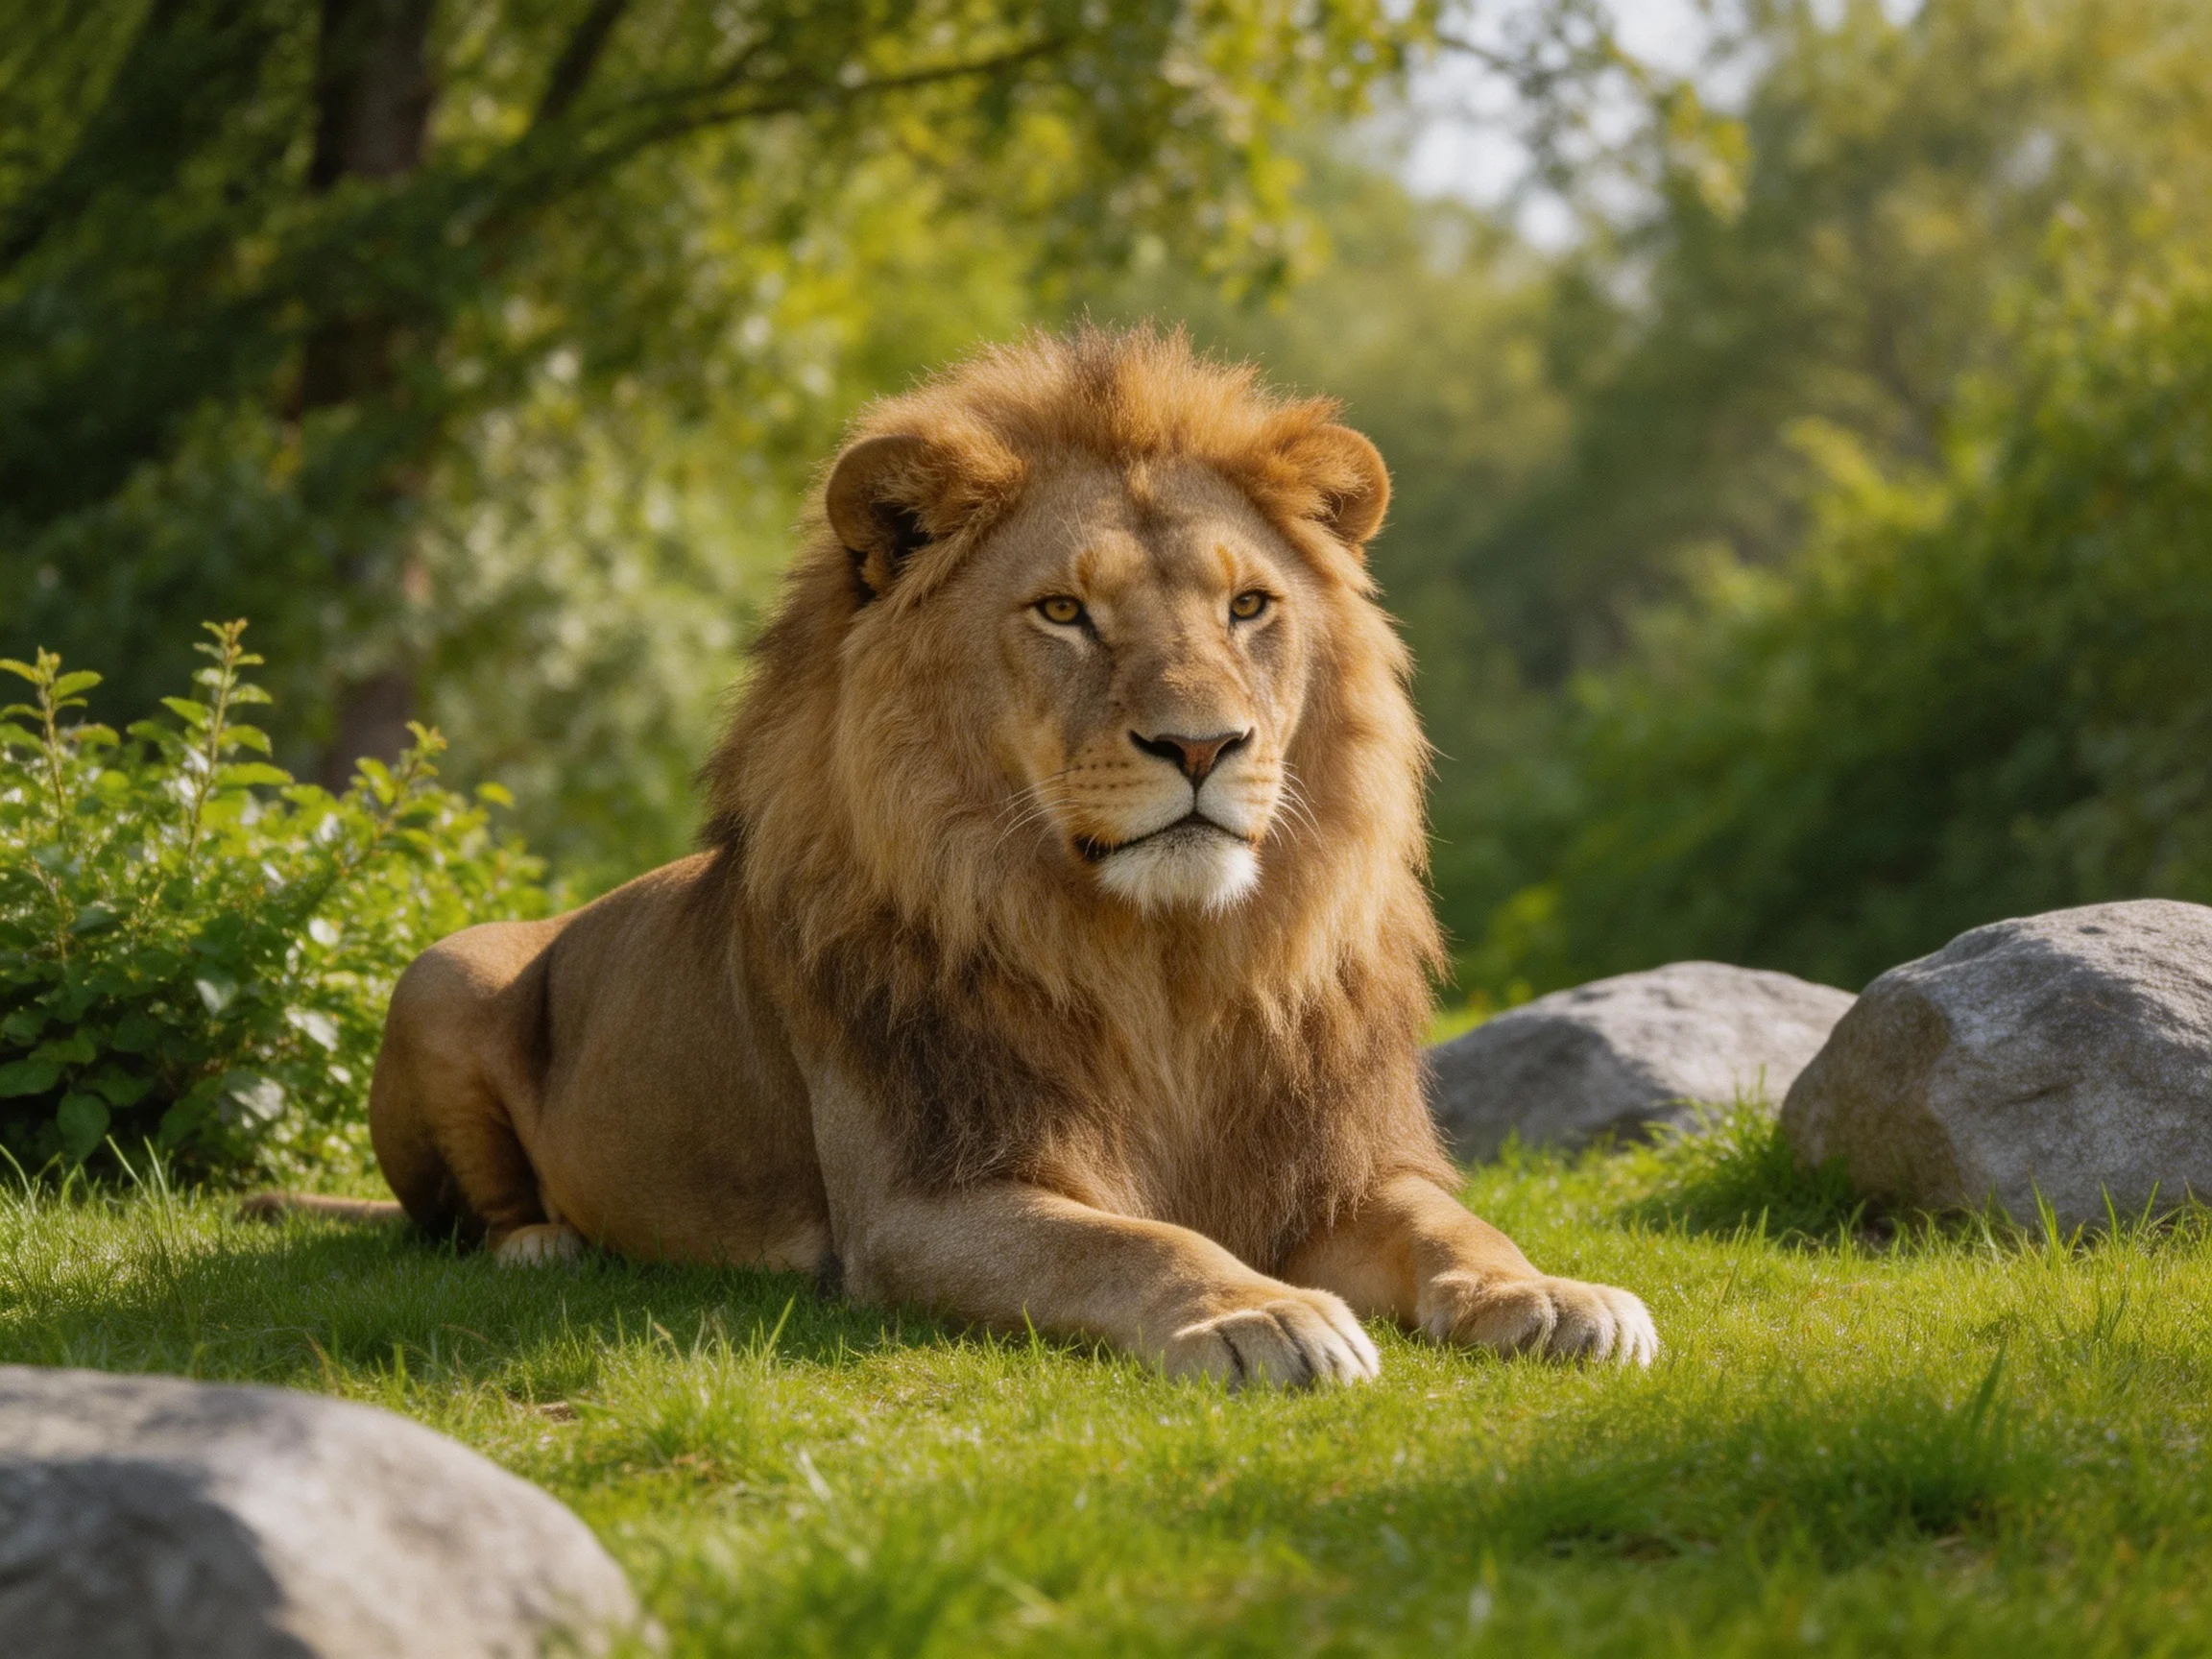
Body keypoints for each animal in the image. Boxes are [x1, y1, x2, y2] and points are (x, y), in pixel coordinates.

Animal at [257, 327, 1656, 1384]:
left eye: (1250, 606)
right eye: (1064, 612)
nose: (1203, 745)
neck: (1166, 967)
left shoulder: (1345, 1168)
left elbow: (1456, 1224)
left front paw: (1554, 1292)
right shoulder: (924, 1205)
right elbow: (1136, 1245)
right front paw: (1260, 1309)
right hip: (438, 971)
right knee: (465, 1218)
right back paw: (547, 1244)